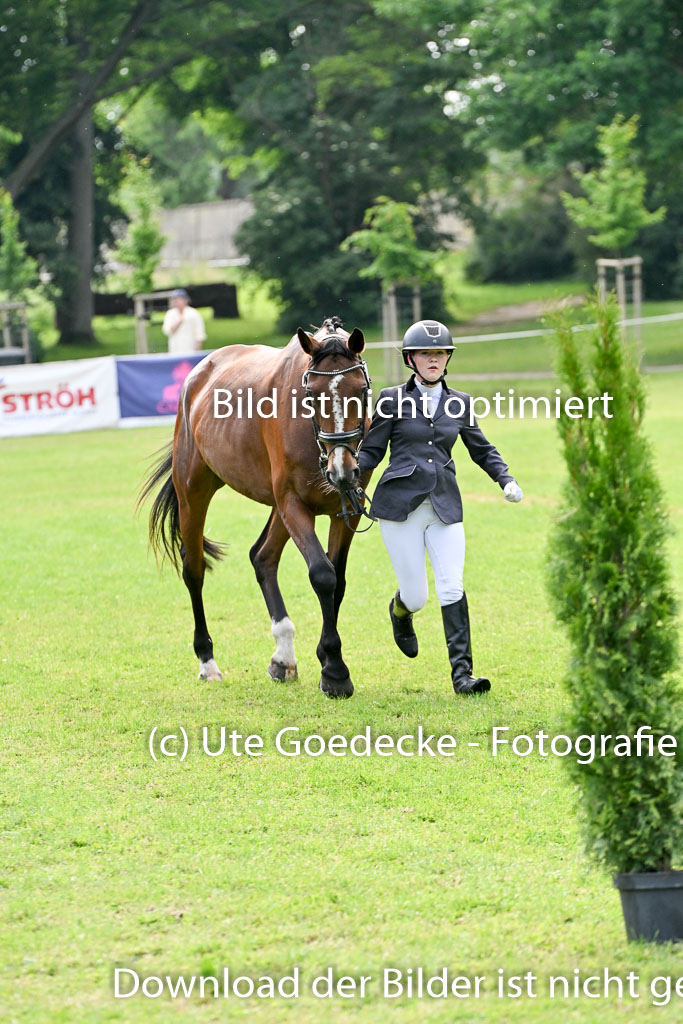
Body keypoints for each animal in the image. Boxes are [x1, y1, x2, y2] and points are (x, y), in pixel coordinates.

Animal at [139, 317, 374, 698]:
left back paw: (283, 657)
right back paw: (208, 662)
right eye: (311, 397)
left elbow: (337, 579)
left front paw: (326, 658)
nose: (342, 469)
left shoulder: (347, 509)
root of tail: (198, 374)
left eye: (361, 390)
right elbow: (322, 575)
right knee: (194, 570)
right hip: (194, 490)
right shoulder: (293, 503)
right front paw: (335, 671)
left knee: (262, 557)